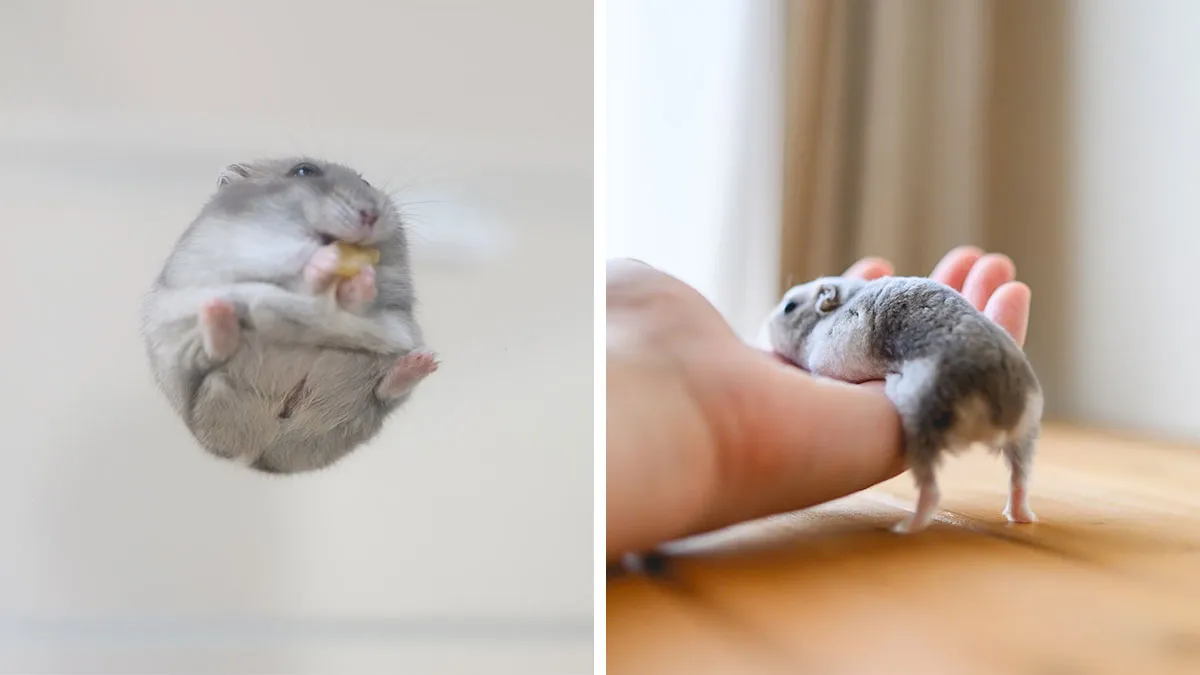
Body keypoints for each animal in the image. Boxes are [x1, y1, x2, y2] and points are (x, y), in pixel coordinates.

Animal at [140, 157, 439, 474]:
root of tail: (261, 455)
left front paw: (361, 279)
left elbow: (359, 301)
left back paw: (421, 363)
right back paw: (218, 312)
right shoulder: (243, 253)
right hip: (190, 365)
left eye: (366, 182)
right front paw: (326, 262)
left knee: (383, 391)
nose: (371, 215)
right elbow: (293, 269)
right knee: (215, 353)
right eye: (304, 171)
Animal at [764, 275, 1042, 533]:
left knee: (931, 491)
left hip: (920, 416)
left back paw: (906, 527)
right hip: (1026, 431)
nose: (763, 327)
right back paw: (1021, 516)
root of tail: (1001, 401)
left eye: (789, 307)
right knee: (1019, 479)